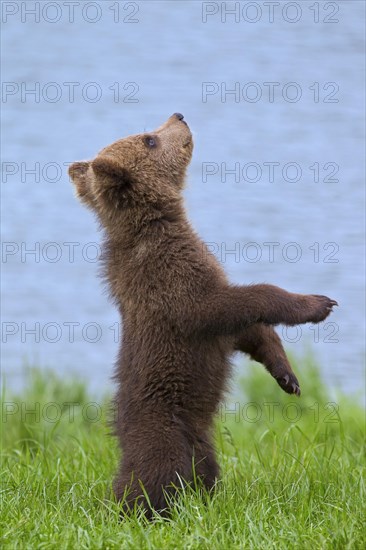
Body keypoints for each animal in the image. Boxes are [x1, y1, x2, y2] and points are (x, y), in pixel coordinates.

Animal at [68, 112, 338, 516]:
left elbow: (250, 331)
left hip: (200, 441)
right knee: (152, 478)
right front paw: (318, 304)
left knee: (203, 471)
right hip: (163, 431)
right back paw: (137, 510)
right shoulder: (174, 285)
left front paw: (288, 377)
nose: (178, 116)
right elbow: (235, 303)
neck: (158, 224)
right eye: (149, 139)